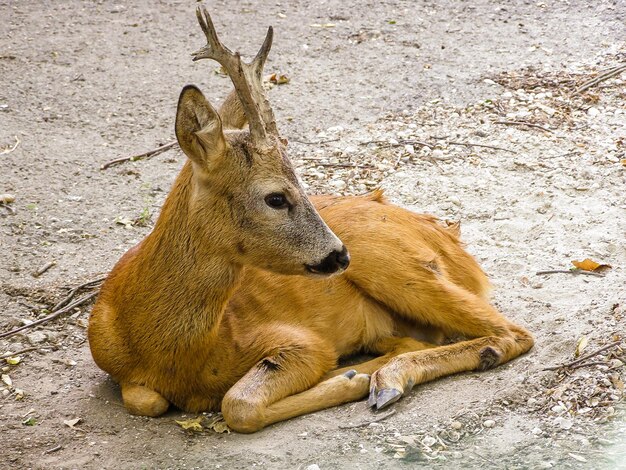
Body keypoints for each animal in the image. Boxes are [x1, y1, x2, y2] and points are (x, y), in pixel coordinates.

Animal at [89, 7, 532, 434]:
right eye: (275, 197)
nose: (339, 256)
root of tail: (453, 242)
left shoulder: (299, 340)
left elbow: (238, 404)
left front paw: (349, 378)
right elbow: (147, 400)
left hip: (395, 264)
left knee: (513, 333)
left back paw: (386, 378)